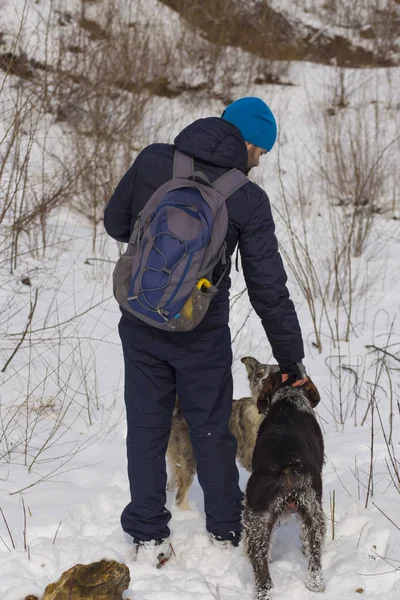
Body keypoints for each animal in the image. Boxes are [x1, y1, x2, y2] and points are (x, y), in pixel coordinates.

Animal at [166, 358, 278, 508]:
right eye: (259, 375)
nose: (264, 381)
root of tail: (178, 410)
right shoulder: (249, 455)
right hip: (189, 459)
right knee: (180, 496)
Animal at [244, 372, 324, 596]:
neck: (289, 398)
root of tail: (287, 461)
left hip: (258, 520)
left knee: (262, 566)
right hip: (311, 511)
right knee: (313, 554)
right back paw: (315, 584)